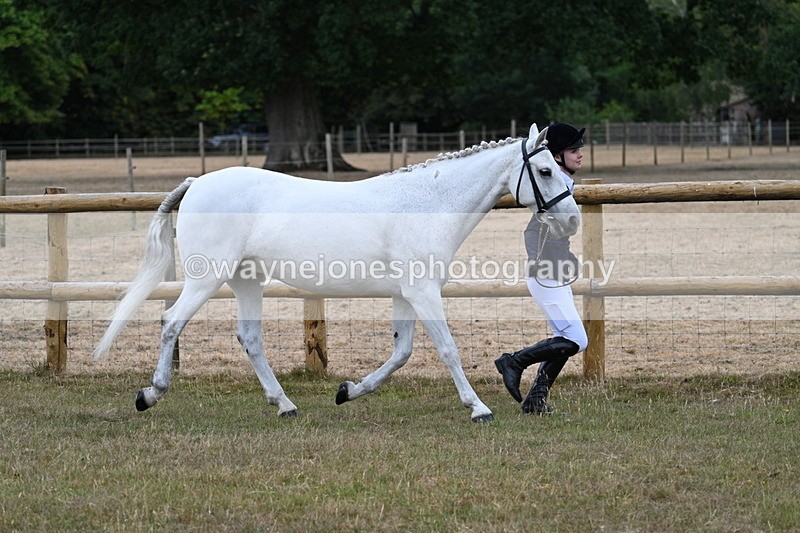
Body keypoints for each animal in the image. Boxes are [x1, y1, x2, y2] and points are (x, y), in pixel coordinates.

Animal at [93, 123, 581, 422]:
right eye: (544, 170)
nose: (572, 221)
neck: (426, 205)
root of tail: (198, 183)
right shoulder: (423, 292)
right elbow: (448, 350)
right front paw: (478, 408)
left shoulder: (405, 294)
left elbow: (401, 353)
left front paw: (348, 390)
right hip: (206, 278)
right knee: (170, 323)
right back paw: (150, 394)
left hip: (247, 280)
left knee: (250, 339)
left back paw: (285, 405)